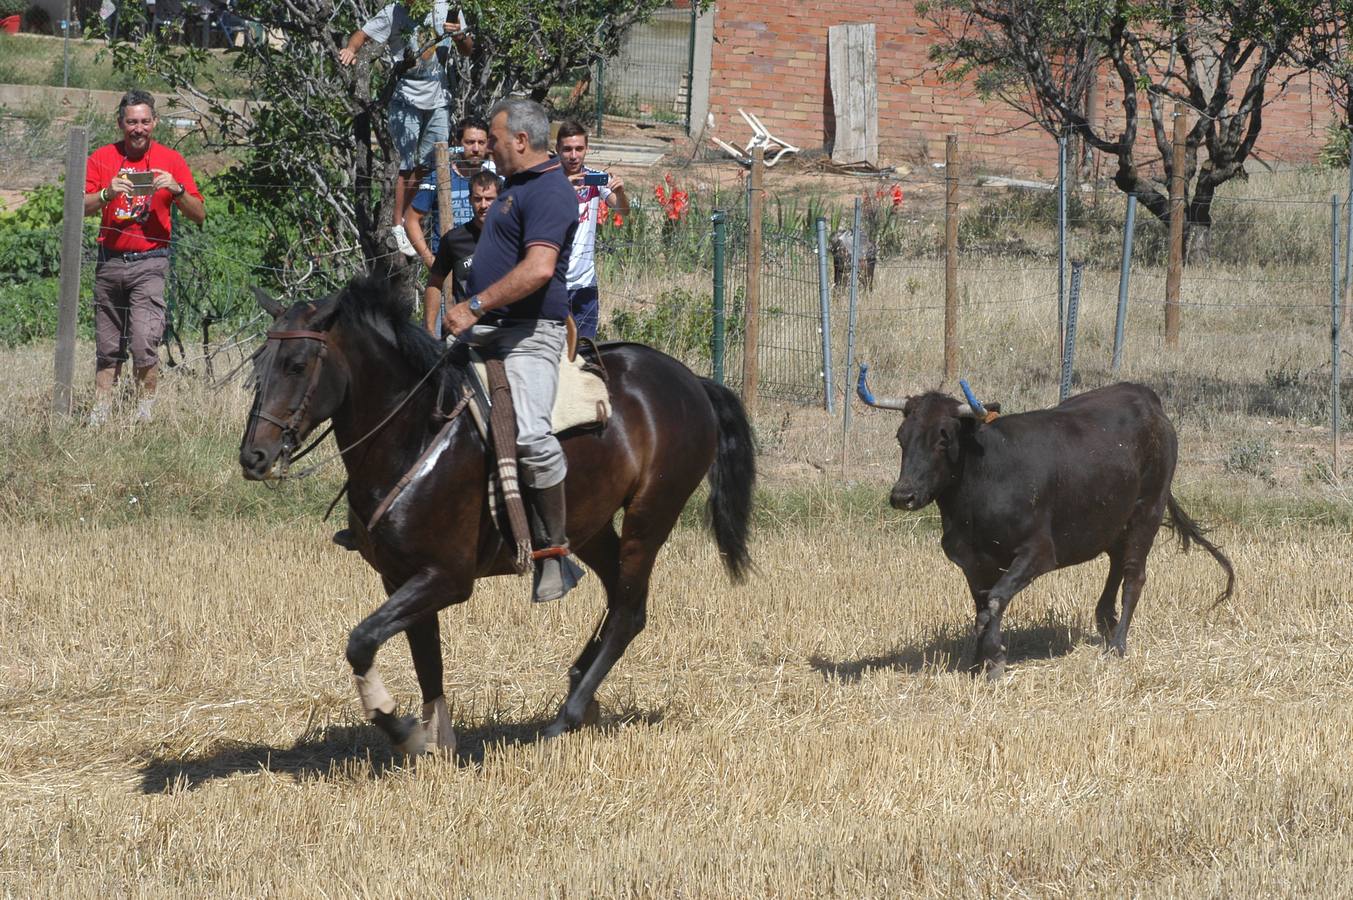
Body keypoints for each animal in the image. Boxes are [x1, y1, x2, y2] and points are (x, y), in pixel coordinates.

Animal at [239, 273, 757, 752]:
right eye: (258, 363)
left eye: (297, 364)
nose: (253, 457)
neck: (416, 434)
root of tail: (693, 382)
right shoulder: (400, 577)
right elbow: (426, 659)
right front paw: (437, 741)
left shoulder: (446, 578)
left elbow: (361, 641)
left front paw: (401, 728)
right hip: (592, 529)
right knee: (617, 599)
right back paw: (579, 684)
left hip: (649, 519)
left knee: (629, 612)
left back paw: (565, 717)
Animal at [860, 376, 1233, 676]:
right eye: (901, 437)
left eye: (943, 440)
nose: (903, 495)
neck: (981, 483)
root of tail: (1144, 396)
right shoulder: (971, 561)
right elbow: (982, 604)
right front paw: (980, 661)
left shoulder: (1038, 553)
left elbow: (994, 601)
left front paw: (995, 657)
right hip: (1113, 519)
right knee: (1116, 564)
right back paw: (1105, 621)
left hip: (1148, 512)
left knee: (1133, 575)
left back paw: (1117, 644)